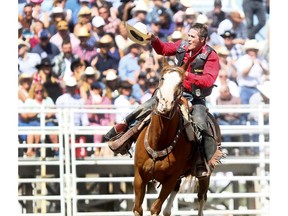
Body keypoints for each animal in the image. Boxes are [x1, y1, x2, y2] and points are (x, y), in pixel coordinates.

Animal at [132, 59, 223, 216]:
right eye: (162, 78)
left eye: (180, 83)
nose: (165, 103)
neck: (159, 141)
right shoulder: (139, 176)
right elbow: (138, 208)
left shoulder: (170, 179)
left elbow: (155, 208)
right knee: (170, 204)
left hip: (205, 175)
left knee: (201, 198)